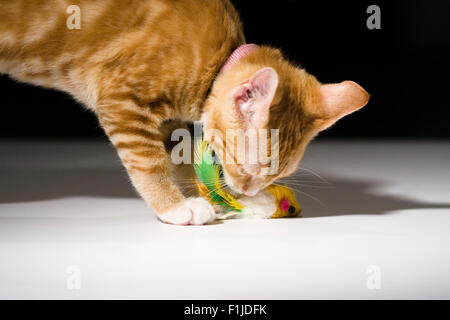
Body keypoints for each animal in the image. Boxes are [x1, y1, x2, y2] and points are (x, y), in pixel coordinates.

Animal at [0, 0, 370, 225]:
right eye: (247, 168)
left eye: (276, 175)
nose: (250, 190)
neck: (218, 58)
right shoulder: (121, 100)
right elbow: (149, 161)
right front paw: (175, 206)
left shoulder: (168, 123)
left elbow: (185, 157)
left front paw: (244, 202)